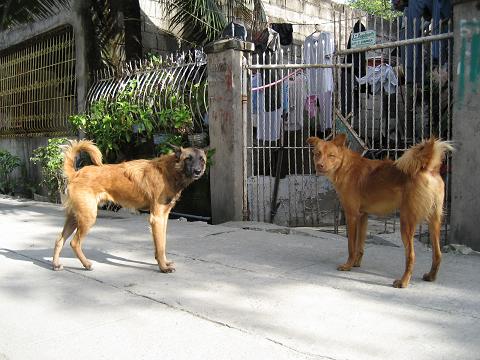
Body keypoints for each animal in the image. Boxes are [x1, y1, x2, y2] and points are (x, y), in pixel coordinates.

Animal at [52, 141, 206, 272]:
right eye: (188, 158)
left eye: (202, 160)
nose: (198, 171)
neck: (169, 171)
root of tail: (76, 173)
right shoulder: (156, 218)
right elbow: (160, 246)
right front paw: (163, 267)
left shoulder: (163, 217)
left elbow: (162, 243)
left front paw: (164, 262)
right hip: (87, 216)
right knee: (74, 243)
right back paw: (86, 264)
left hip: (74, 217)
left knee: (59, 240)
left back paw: (55, 264)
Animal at [308, 134, 454, 288]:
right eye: (317, 154)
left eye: (331, 155)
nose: (319, 165)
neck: (344, 166)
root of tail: (428, 168)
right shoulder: (363, 216)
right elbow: (360, 245)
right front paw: (356, 264)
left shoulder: (351, 215)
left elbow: (351, 246)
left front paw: (348, 265)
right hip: (434, 221)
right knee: (437, 254)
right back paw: (431, 276)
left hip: (406, 223)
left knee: (411, 256)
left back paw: (403, 282)